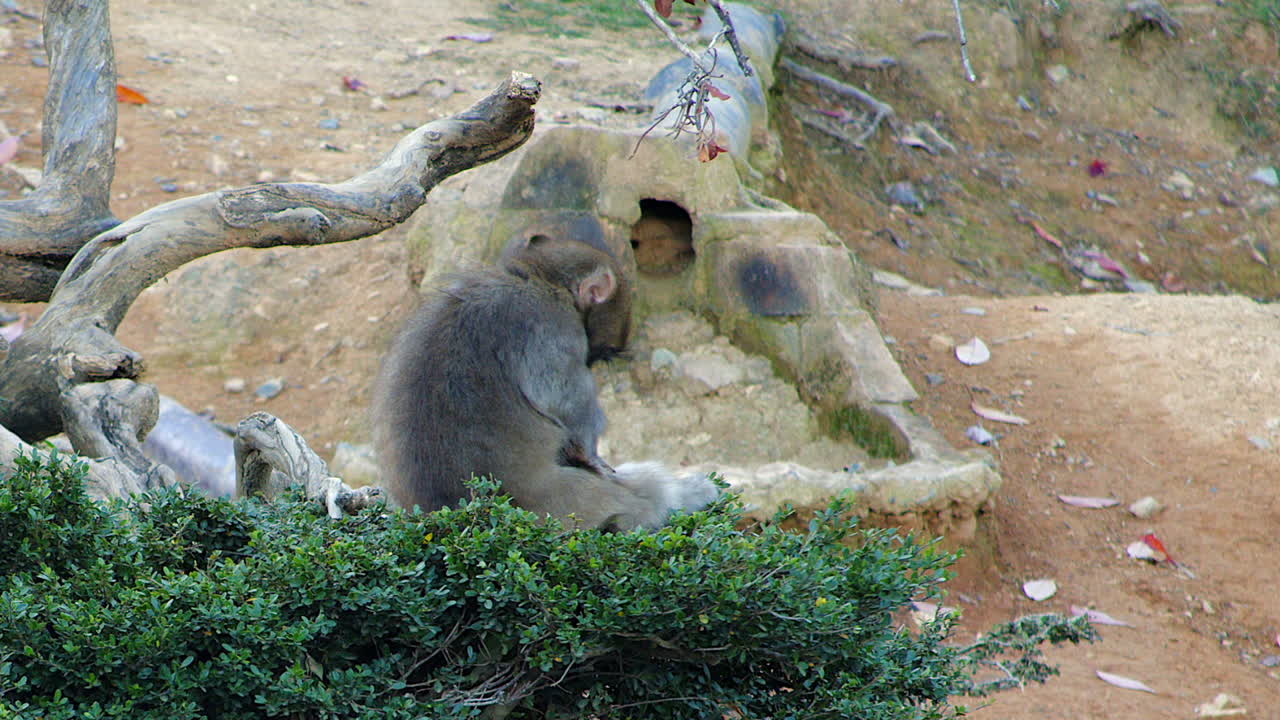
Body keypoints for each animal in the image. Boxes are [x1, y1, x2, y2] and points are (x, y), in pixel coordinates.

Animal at [372, 234, 718, 531]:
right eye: (599, 354)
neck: (540, 279)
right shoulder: (555, 326)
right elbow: (562, 396)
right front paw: (591, 450)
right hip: (574, 503)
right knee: (642, 492)